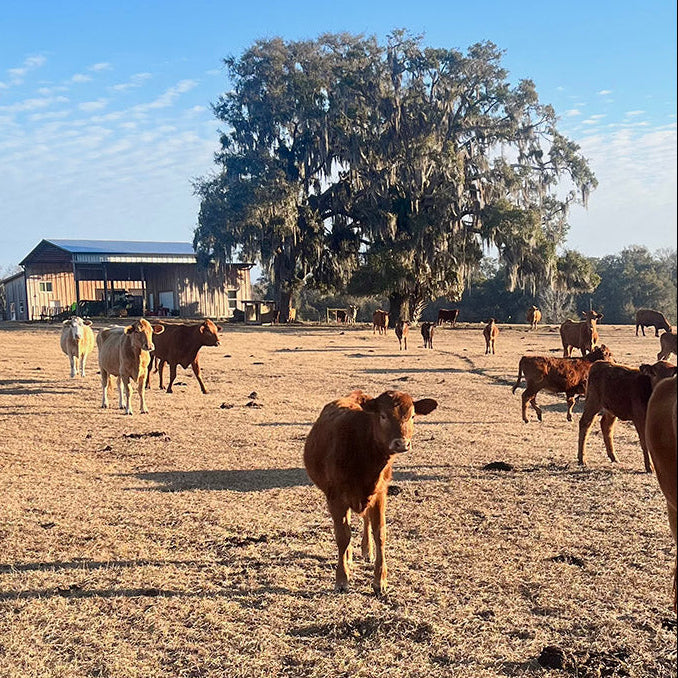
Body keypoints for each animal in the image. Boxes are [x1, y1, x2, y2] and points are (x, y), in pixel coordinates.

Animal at [303, 389, 438, 594]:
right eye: (382, 416)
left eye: (413, 416)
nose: (401, 444)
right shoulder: (336, 497)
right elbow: (342, 536)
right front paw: (342, 579)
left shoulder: (380, 493)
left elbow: (380, 533)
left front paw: (380, 581)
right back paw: (349, 557)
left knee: (365, 519)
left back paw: (367, 551)